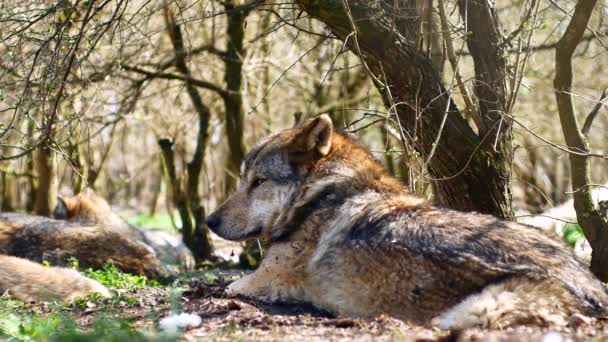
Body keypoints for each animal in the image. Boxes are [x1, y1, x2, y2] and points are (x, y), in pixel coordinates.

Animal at [205, 114, 608, 328]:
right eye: (243, 180)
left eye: (258, 182)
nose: (209, 221)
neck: (320, 192)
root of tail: (592, 291)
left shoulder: (255, 281)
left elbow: (228, 285)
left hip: (467, 313)